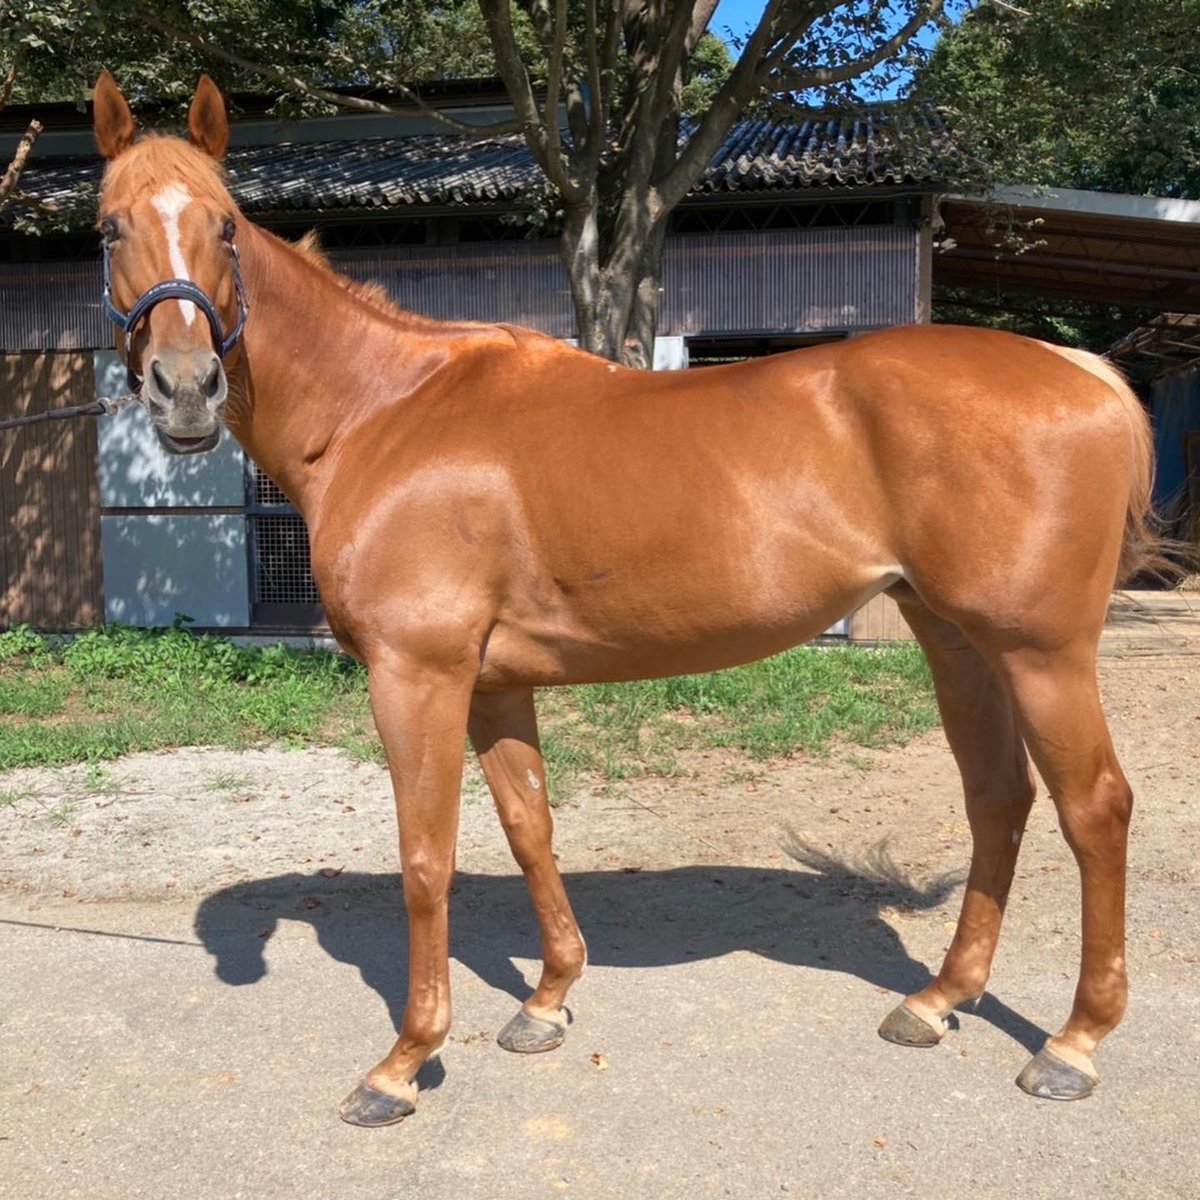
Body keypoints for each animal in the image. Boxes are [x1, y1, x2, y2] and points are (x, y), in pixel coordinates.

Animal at [92, 72, 1158, 1125]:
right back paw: (937, 1000)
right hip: (957, 643)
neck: (383, 412)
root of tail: (1082, 372)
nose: (184, 389)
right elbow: (530, 827)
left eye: (226, 226)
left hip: (1040, 654)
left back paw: (1072, 1043)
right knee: (998, 798)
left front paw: (404, 1060)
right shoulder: (492, 684)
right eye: (109, 228)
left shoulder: (416, 675)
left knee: (1094, 809)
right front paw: (547, 1000)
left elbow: (426, 858)